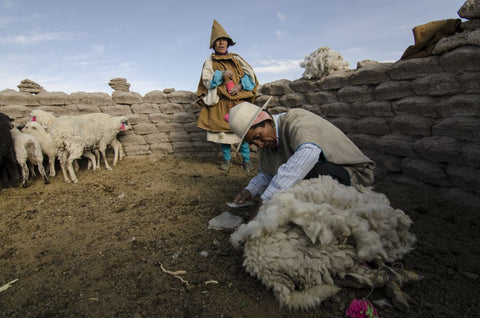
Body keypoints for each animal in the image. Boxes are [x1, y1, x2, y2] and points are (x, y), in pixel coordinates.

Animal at [231, 174, 418, 310]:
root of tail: (262, 269)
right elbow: (380, 260)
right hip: (326, 256)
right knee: (372, 276)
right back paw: (405, 281)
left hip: (323, 263)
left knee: (358, 277)